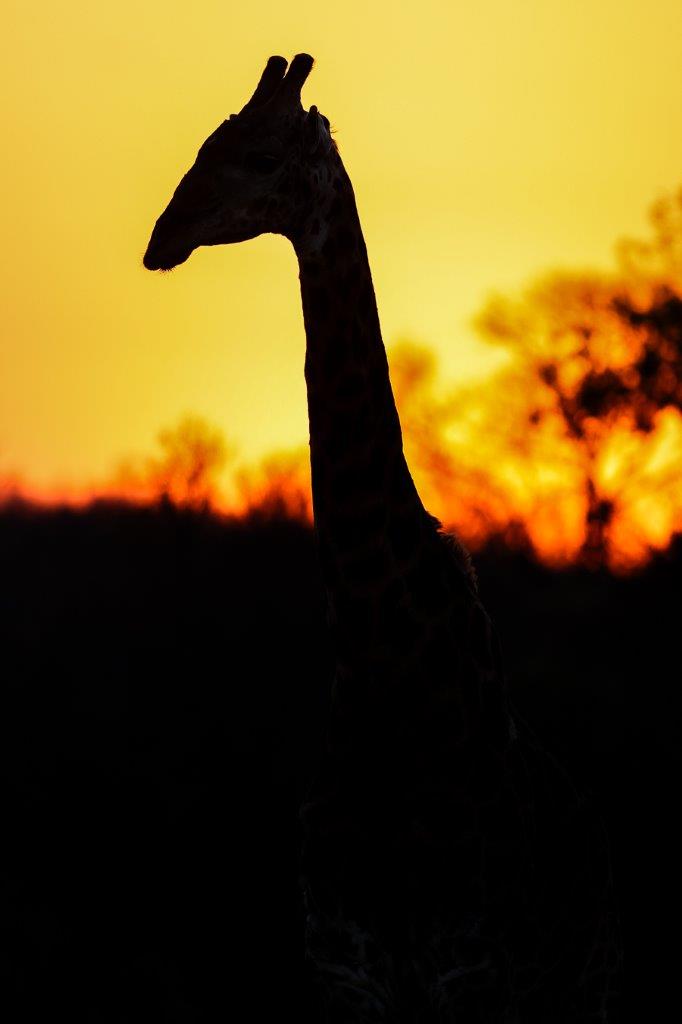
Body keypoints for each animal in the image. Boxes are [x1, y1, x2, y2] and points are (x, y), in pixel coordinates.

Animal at [143, 54, 621, 1022]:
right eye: (205, 143)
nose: (161, 236)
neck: (385, 682)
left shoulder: (474, 980)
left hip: (578, 993)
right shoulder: (348, 978)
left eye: (258, 157)